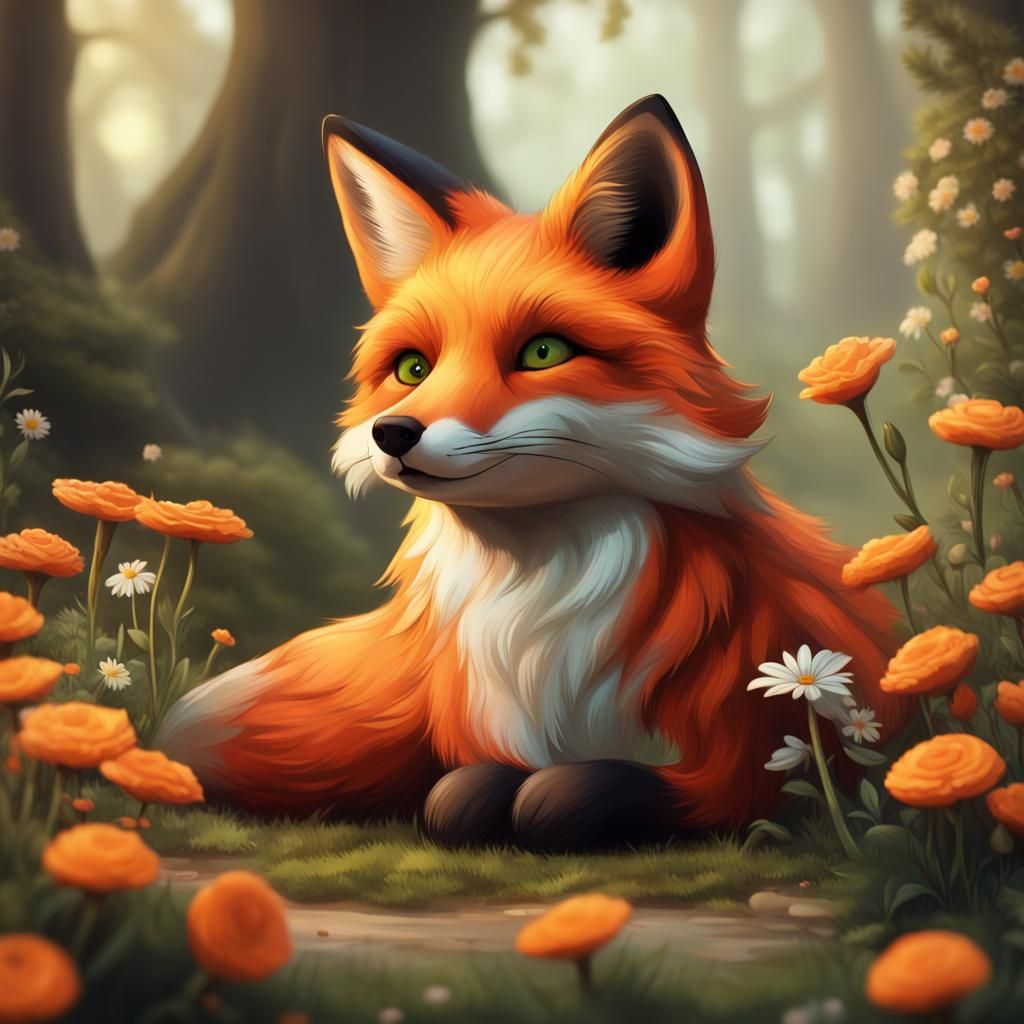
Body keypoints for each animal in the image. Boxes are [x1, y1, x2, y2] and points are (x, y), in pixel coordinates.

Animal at [158, 94, 911, 852]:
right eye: (412, 367)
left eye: (543, 352)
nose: (392, 433)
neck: (537, 614)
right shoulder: (469, 724)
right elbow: (456, 792)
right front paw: (476, 796)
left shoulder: (769, 749)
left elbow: (642, 790)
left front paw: (557, 798)